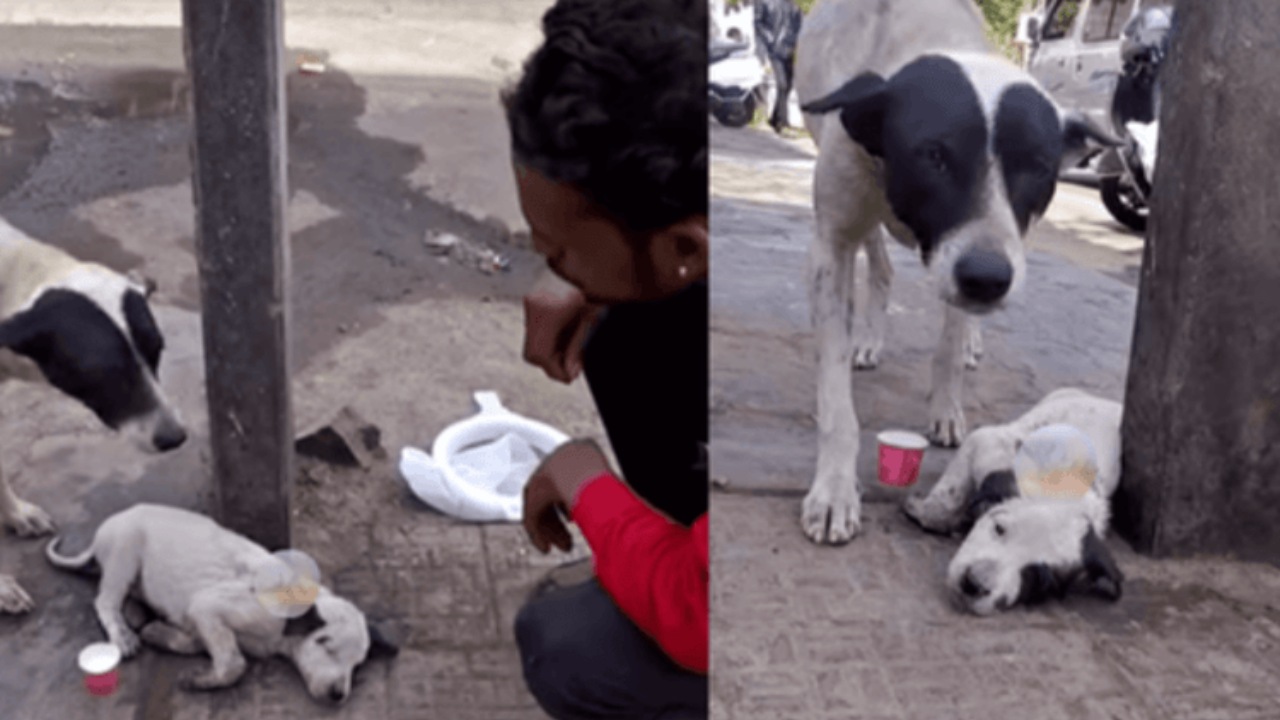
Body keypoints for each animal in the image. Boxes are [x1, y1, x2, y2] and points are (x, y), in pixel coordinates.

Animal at [45, 504, 394, 702]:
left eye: (357, 665)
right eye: (326, 646)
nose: (339, 697)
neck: (281, 633)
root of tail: (105, 530)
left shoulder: (200, 619)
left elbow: (198, 643)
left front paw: (160, 634)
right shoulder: (207, 606)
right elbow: (234, 664)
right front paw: (198, 679)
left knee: (125, 596)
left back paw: (136, 614)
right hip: (124, 553)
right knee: (105, 600)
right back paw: (123, 634)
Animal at [793, 0, 1116, 538]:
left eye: (1038, 166)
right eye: (934, 155)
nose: (987, 279)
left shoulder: (987, 249)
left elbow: (947, 344)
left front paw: (947, 404)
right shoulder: (832, 240)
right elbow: (836, 395)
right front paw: (835, 489)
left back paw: (969, 345)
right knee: (880, 266)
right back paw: (869, 338)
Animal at [906, 389, 1126, 614]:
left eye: (1037, 577)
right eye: (999, 528)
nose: (974, 584)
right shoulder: (986, 442)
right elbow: (948, 495)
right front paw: (923, 509)